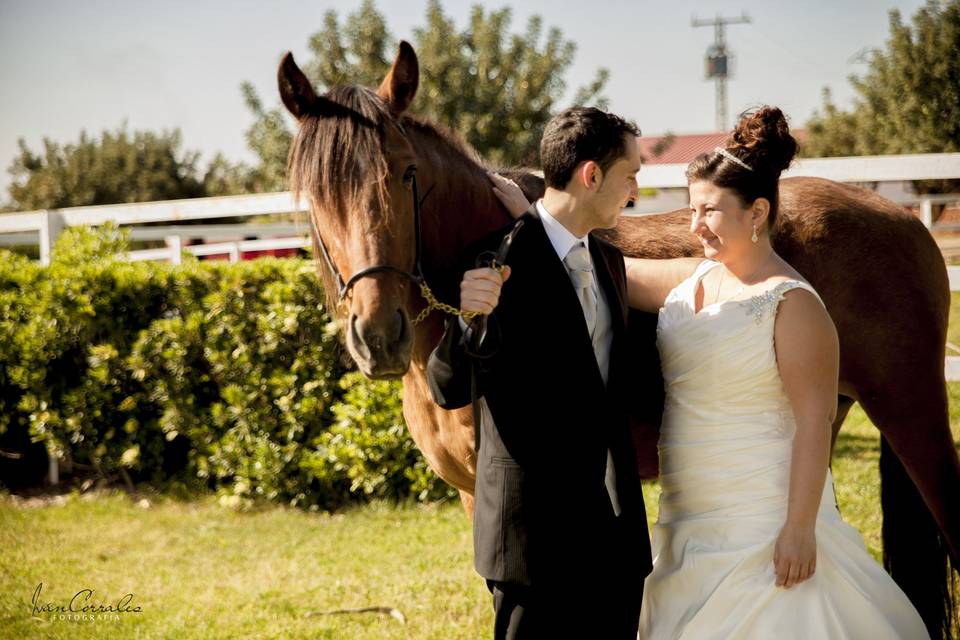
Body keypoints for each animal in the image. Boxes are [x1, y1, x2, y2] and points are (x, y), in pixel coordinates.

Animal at [280, 42, 960, 636]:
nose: (378, 334)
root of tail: (905, 220)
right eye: (314, 197)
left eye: (406, 174)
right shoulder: (481, 500)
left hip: (913, 413)